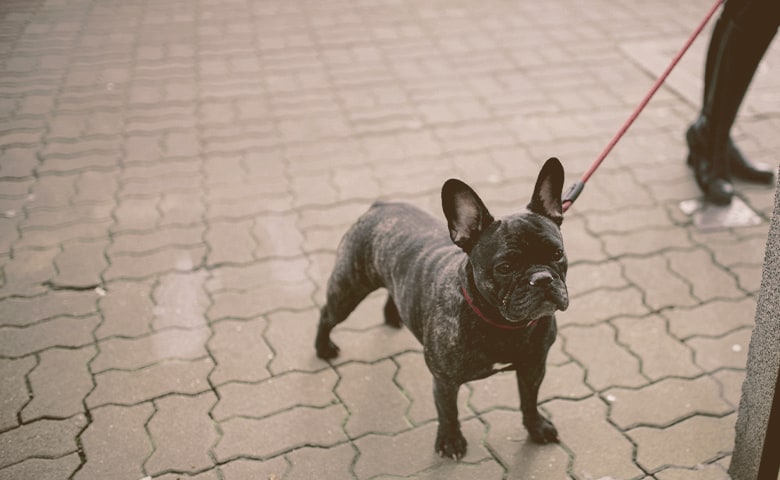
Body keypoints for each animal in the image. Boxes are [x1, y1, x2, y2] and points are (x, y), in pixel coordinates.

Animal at [316, 158, 568, 458]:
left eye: (558, 254)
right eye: (505, 267)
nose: (542, 279)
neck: (501, 324)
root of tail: (380, 206)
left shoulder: (533, 366)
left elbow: (529, 399)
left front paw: (536, 427)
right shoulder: (445, 381)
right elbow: (448, 411)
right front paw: (450, 441)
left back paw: (393, 315)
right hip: (348, 289)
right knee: (326, 314)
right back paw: (323, 348)